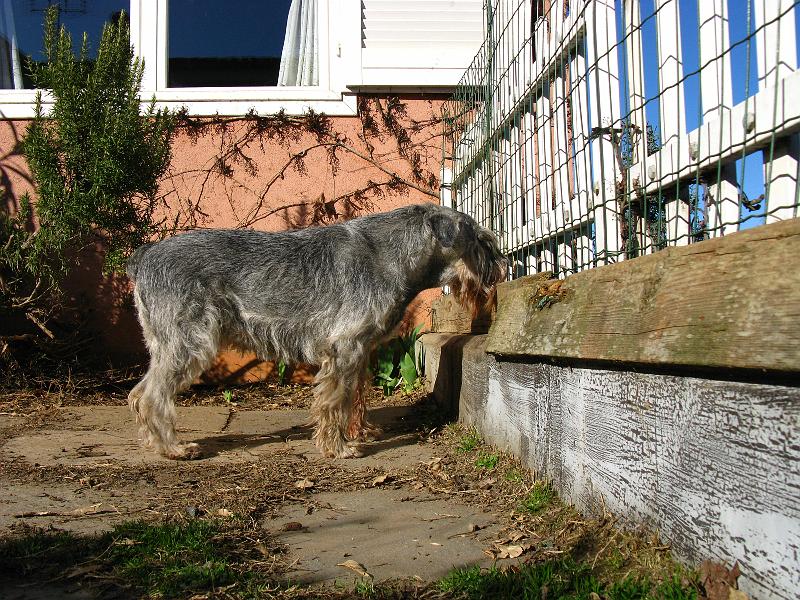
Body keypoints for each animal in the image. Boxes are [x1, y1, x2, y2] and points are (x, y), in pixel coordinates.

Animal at [129, 203, 510, 460]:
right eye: (480, 240)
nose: (503, 267)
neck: (393, 256)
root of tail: (144, 256)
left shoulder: (362, 350)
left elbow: (356, 395)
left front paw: (361, 431)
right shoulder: (345, 348)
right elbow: (335, 400)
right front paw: (338, 446)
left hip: (165, 345)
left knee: (138, 392)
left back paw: (153, 441)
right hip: (190, 344)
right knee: (151, 396)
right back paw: (173, 448)